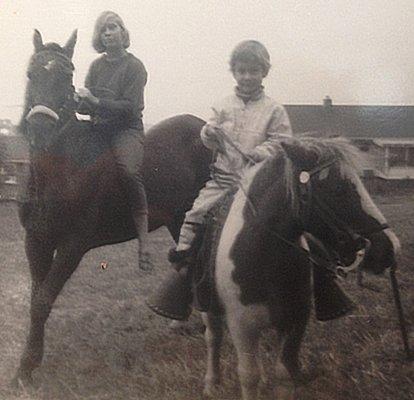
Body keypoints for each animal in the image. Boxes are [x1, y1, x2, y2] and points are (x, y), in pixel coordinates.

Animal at [14, 29, 212, 382]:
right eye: (31, 73)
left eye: (67, 76)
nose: (40, 130)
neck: (62, 170)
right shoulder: (36, 240)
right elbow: (36, 299)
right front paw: (27, 364)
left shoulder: (73, 245)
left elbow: (43, 300)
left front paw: (27, 366)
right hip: (180, 217)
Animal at [202, 138, 400, 400]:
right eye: (338, 189)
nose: (390, 248)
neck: (263, 259)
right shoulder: (241, 326)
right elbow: (248, 375)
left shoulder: (295, 322)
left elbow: (284, 372)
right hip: (210, 310)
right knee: (212, 336)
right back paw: (211, 383)